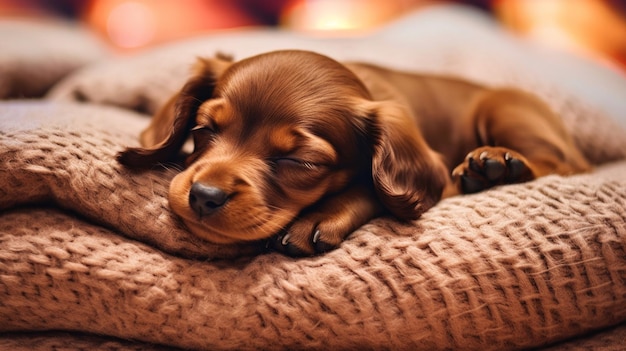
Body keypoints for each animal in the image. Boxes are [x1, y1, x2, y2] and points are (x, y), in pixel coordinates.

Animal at [118, 49, 588, 258]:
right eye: (203, 129)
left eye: (301, 162)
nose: (204, 196)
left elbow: (371, 189)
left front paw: (319, 217)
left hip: (505, 108)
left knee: (561, 165)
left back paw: (496, 166)